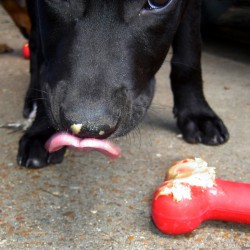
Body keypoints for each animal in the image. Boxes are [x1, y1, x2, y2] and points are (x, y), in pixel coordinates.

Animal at [17, 0, 229, 168]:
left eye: (159, 1)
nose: (90, 128)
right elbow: (45, 63)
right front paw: (42, 130)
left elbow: (189, 50)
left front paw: (198, 113)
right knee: (35, 43)